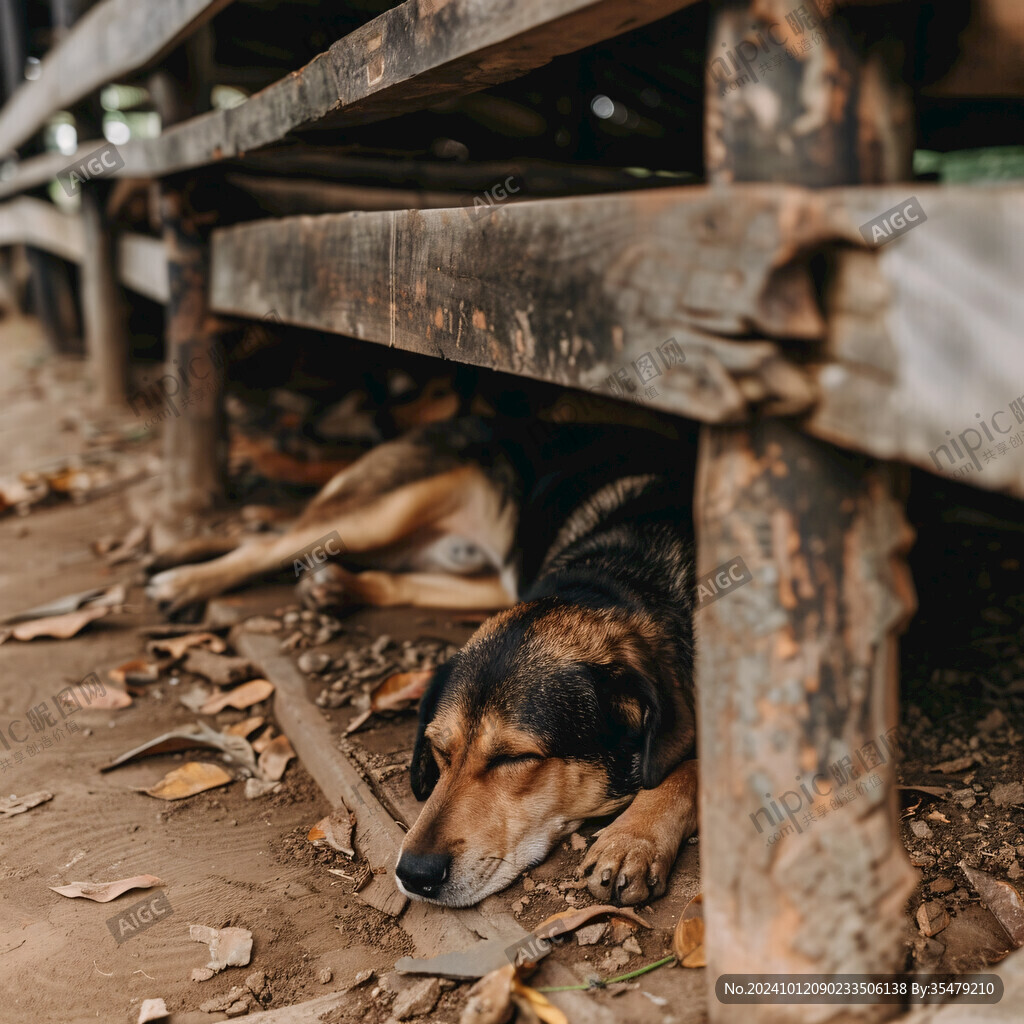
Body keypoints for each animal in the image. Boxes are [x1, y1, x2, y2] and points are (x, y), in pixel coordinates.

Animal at [146, 413, 696, 905]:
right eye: (439, 750)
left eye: (515, 759)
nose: (414, 875)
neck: (616, 580)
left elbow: (683, 768)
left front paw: (633, 839)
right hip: (385, 510)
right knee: (271, 542)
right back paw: (182, 577)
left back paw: (333, 585)